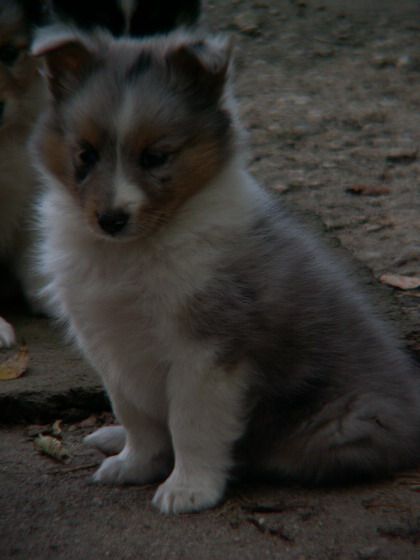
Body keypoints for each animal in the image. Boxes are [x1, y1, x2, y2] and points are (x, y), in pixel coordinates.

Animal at [31, 28, 420, 516]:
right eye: (85, 154)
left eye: (156, 157)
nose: (111, 220)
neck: (138, 247)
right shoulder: (108, 343)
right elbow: (135, 415)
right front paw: (134, 463)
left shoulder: (208, 351)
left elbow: (191, 424)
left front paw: (188, 489)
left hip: (344, 422)